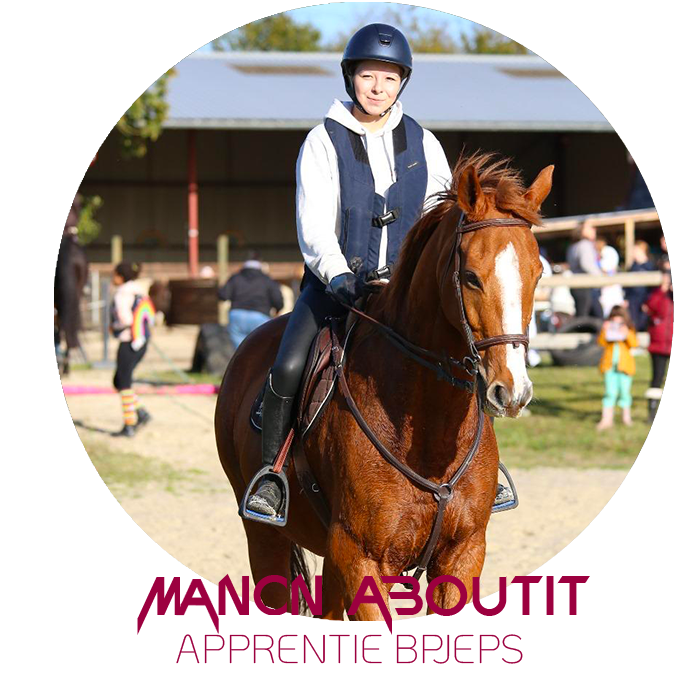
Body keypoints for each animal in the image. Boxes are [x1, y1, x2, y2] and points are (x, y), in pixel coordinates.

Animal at [215, 153, 553, 620]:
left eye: (537, 275)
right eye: (470, 276)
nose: (513, 391)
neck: (429, 429)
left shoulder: (462, 555)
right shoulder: (362, 557)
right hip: (265, 540)